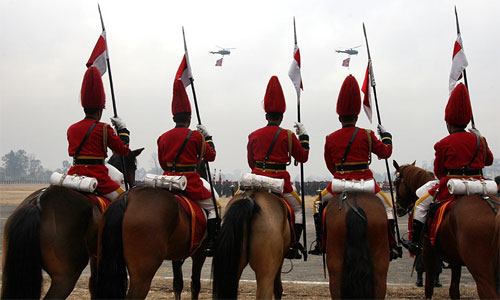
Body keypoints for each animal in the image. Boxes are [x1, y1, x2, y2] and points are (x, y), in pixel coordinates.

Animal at [0, 149, 142, 298]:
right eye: (135, 166)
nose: (132, 183)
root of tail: (38, 202)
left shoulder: (95, 253)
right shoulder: (99, 254)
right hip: (66, 276)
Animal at [394, 161, 500, 298]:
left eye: (395, 182)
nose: (398, 208)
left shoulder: (428, 254)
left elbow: (429, 288)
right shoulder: (455, 260)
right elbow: (454, 291)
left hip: (482, 272)